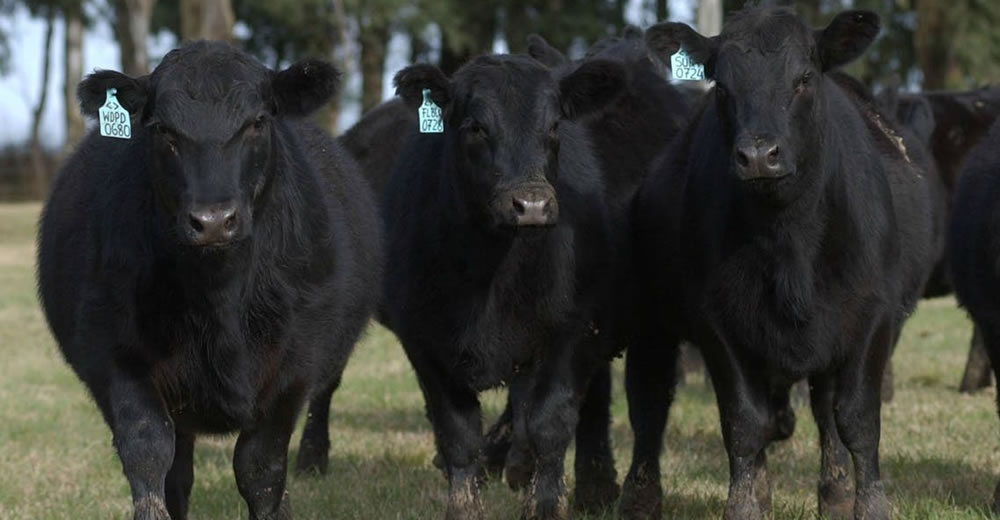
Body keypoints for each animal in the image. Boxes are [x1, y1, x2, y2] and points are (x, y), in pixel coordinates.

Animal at [35, 41, 378, 520]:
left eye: (257, 121)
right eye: (162, 128)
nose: (213, 220)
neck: (218, 300)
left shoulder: (294, 368)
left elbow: (261, 470)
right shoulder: (114, 354)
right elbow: (149, 454)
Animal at [384, 53, 632, 520]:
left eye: (554, 126)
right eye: (475, 126)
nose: (531, 204)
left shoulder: (573, 329)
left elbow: (551, 422)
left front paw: (546, 503)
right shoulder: (422, 340)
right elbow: (458, 433)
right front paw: (463, 506)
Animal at [620, 6, 932, 516]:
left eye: (804, 78)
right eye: (721, 87)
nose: (758, 155)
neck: (790, 244)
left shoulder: (872, 316)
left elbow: (858, 420)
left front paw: (870, 506)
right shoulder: (716, 322)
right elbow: (745, 423)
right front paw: (745, 506)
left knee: (825, 412)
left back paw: (834, 494)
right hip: (652, 322)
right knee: (649, 400)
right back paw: (640, 499)